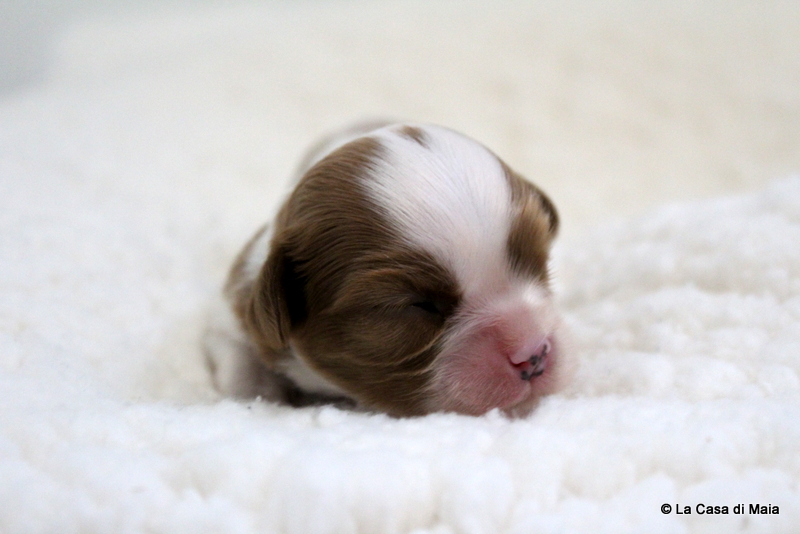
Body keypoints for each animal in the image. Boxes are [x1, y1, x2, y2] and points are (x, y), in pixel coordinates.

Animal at [205, 122, 567, 416]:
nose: (535, 354)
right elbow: (236, 357)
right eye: (417, 305)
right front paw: (259, 393)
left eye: (540, 263)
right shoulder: (234, 302)